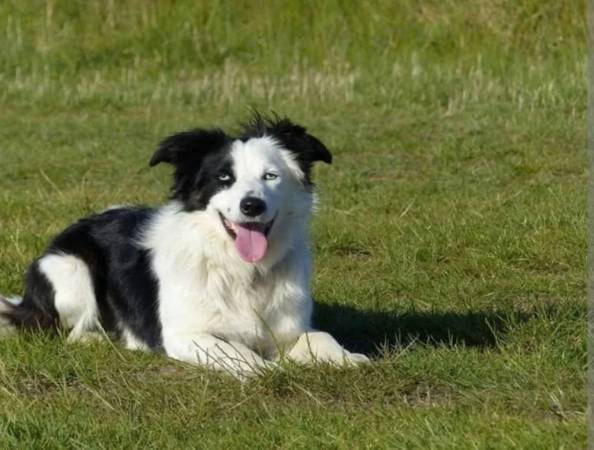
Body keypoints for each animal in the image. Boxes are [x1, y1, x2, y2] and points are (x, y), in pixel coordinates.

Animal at [0, 114, 368, 378]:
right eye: (223, 178)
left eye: (270, 176)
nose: (252, 206)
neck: (240, 271)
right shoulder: (184, 335)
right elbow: (238, 352)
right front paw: (268, 369)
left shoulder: (288, 329)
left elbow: (319, 336)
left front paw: (348, 358)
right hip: (70, 270)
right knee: (75, 328)